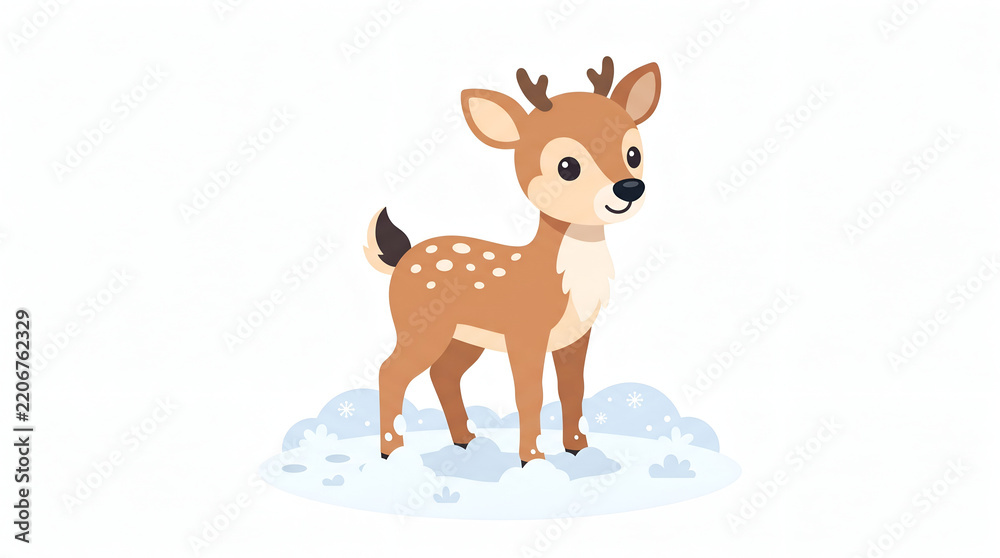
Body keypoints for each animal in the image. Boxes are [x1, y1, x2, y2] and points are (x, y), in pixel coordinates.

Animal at [364, 57, 661, 465]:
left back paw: (466, 441)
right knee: (391, 371)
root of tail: (403, 256)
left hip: (463, 338)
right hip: (420, 325)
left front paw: (578, 450)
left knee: (443, 374)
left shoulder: (575, 336)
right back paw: (392, 453)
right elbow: (530, 394)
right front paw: (532, 460)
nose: (629, 188)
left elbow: (572, 389)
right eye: (567, 166)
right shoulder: (525, 333)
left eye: (633, 153)